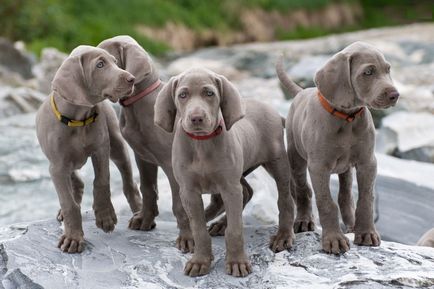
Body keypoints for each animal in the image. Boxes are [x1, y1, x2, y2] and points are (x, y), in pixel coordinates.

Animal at [35, 45, 142, 252]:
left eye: (115, 62)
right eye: (100, 65)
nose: (131, 79)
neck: (78, 120)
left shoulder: (101, 149)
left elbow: (101, 181)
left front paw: (105, 216)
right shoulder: (57, 167)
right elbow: (68, 202)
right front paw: (73, 238)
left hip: (117, 146)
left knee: (128, 181)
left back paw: (139, 212)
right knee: (76, 182)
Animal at [154, 68, 296, 276]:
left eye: (209, 93)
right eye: (182, 95)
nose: (197, 118)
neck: (201, 143)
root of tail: (276, 113)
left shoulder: (229, 187)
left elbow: (236, 229)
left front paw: (237, 262)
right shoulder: (189, 191)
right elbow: (199, 229)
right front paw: (200, 261)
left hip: (277, 163)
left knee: (285, 199)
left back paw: (283, 236)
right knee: (247, 191)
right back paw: (219, 223)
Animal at [276, 41, 398, 253]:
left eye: (388, 69)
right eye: (368, 72)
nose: (395, 95)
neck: (347, 119)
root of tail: (302, 91)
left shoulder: (367, 162)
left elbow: (365, 199)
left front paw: (366, 233)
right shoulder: (318, 167)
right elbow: (326, 202)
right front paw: (334, 239)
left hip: (345, 167)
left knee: (345, 195)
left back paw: (352, 225)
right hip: (296, 157)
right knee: (303, 190)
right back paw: (304, 220)